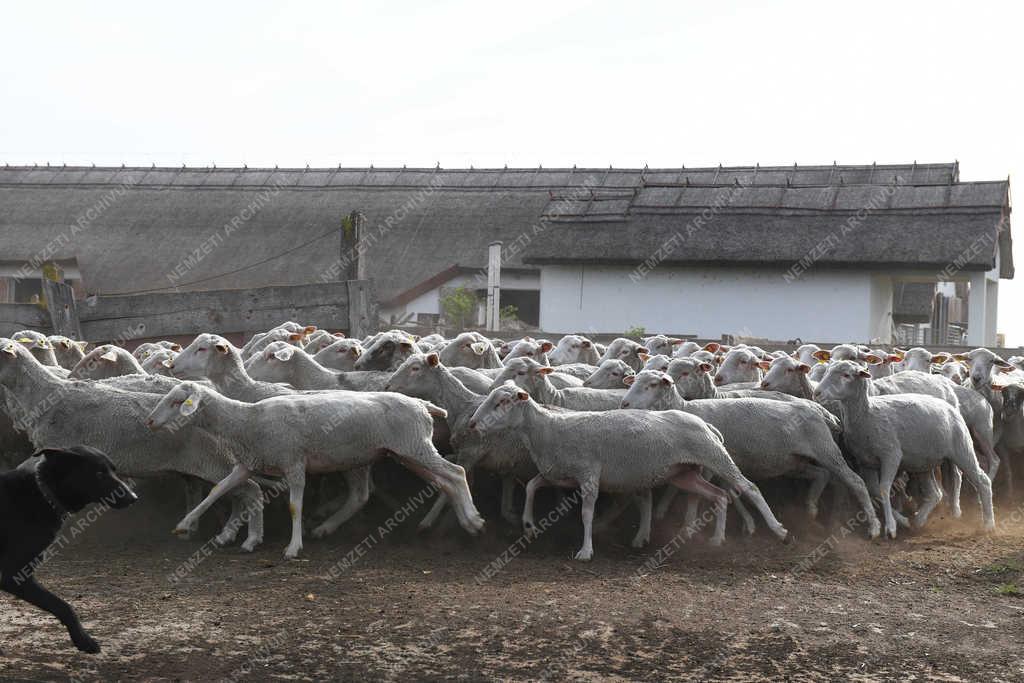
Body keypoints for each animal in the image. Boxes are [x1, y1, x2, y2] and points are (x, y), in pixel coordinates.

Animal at [0, 446, 137, 655]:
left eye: (114, 470)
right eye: (98, 474)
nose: (134, 497)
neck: (42, 493)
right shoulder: (15, 576)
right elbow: (63, 606)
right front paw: (83, 640)